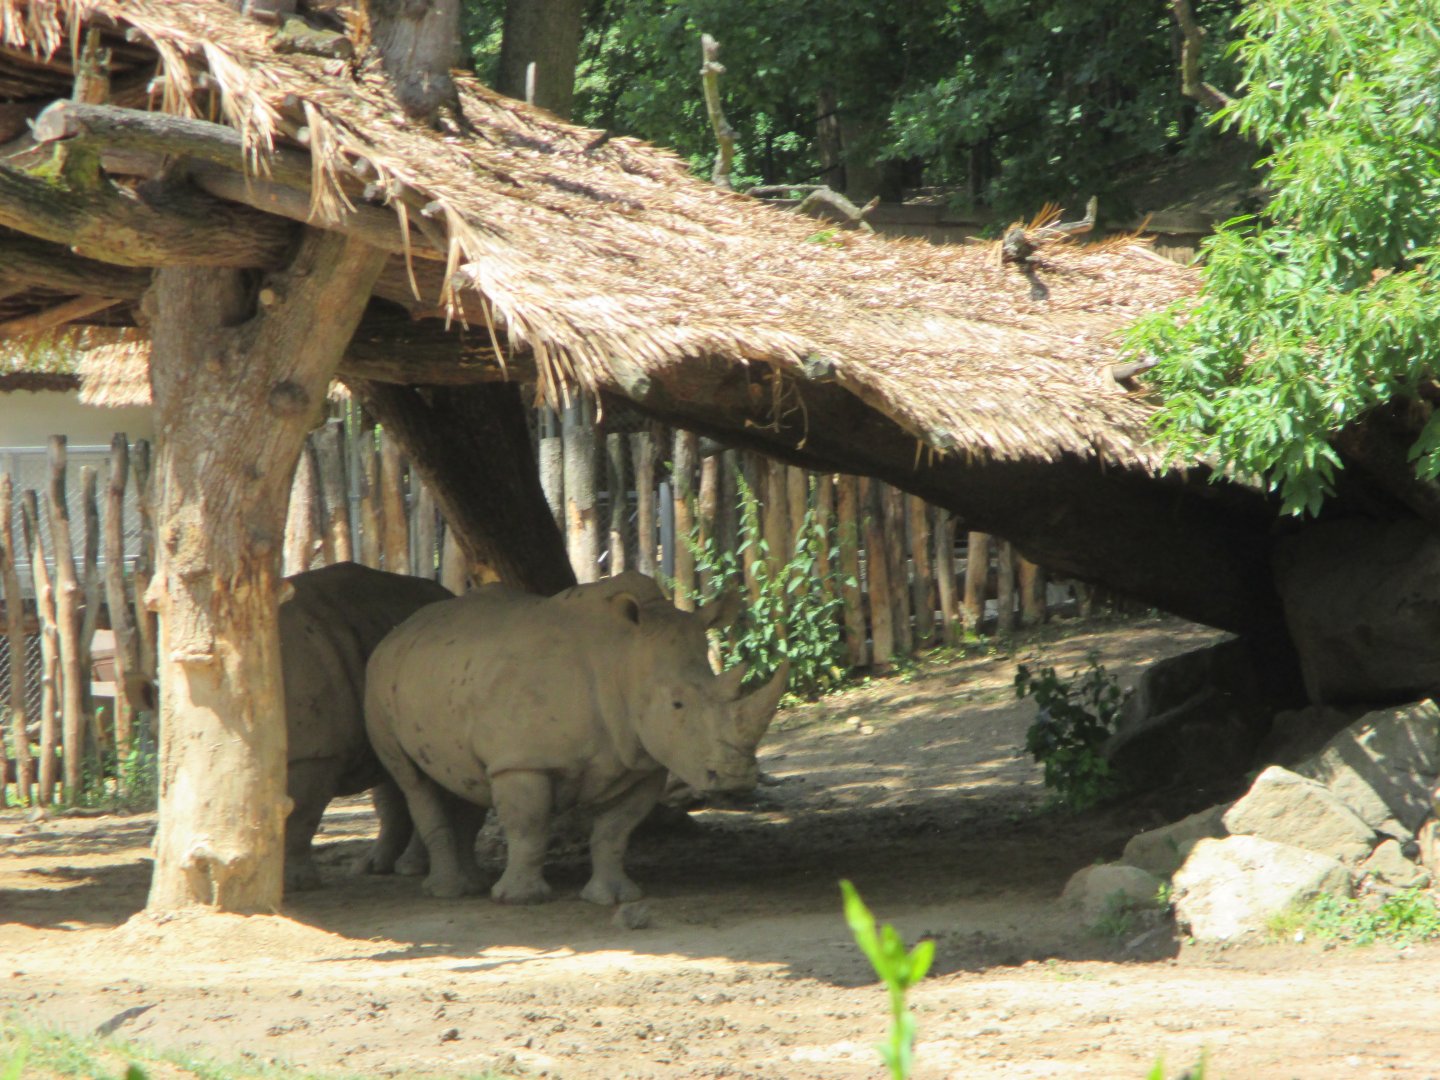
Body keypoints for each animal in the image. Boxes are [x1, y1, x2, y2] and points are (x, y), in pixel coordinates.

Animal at [364, 571, 788, 904]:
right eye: (677, 704)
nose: (736, 779)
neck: (622, 658)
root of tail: (400, 630)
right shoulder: (522, 760)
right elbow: (529, 827)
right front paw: (520, 899)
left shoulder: (641, 762)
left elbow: (614, 833)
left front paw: (614, 898)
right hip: (377, 682)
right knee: (412, 781)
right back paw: (450, 892)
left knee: (465, 778)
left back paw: (474, 884)